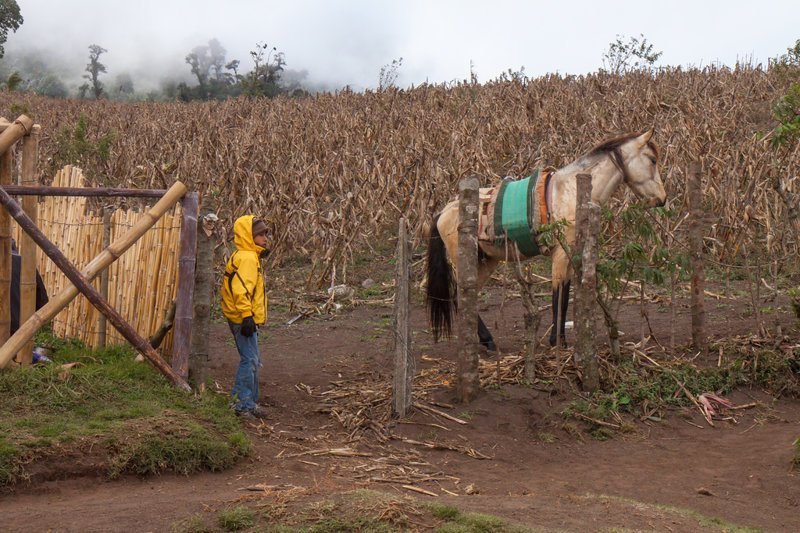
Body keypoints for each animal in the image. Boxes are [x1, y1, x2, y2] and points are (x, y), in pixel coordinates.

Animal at [428, 128, 664, 350]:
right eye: (652, 160)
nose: (661, 199)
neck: (571, 192)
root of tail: (443, 213)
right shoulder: (560, 254)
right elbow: (558, 297)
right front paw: (557, 342)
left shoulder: (571, 255)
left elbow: (565, 296)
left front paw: (561, 340)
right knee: (460, 297)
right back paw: (486, 340)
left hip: (487, 262)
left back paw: (486, 341)